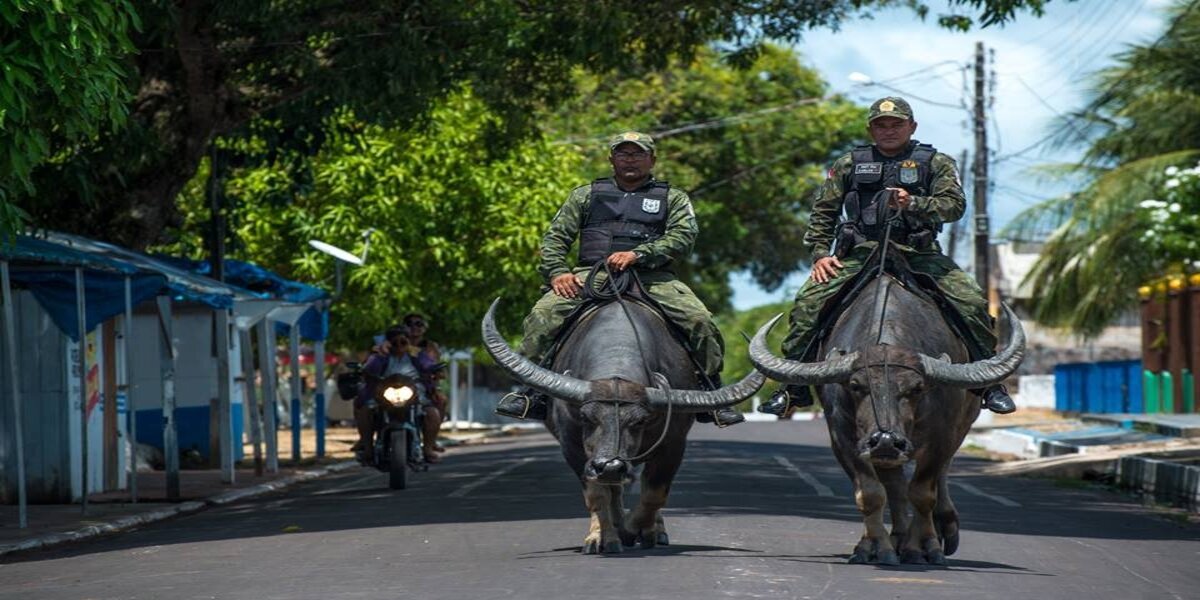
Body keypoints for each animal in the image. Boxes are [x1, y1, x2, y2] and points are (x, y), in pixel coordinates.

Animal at [477, 297, 758, 554]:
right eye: (586, 417)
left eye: (640, 420)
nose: (610, 466)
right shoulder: (574, 449)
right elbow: (597, 494)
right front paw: (603, 538)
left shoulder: (673, 445)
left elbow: (654, 493)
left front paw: (631, 530)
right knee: (613, 490)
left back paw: (652, 531)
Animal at [739, 274, 1022, 564]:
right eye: (855, 385)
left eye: (917, 388)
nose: (886, 440)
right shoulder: (844, 439)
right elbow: (871, 494)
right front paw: (874, 547)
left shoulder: (941, 435)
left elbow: (923, 493)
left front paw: (923, 547)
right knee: (896, 486)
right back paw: (897, 537)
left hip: (963, 423)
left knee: (940, 474)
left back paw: (940, 529)